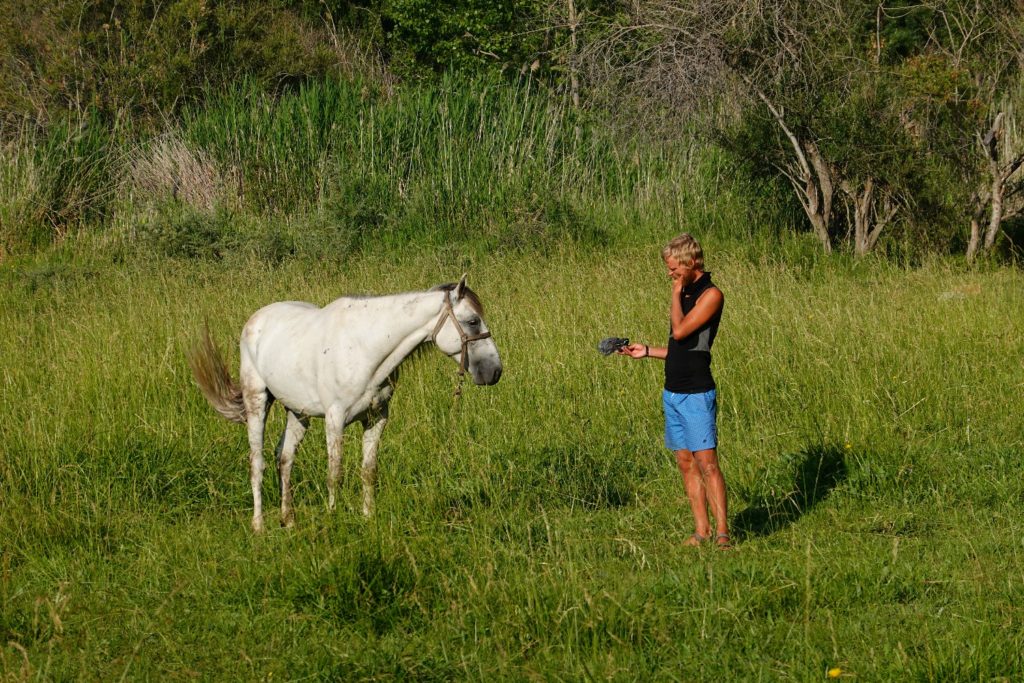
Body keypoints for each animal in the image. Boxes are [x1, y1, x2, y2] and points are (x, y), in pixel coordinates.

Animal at [190, 274, 501, 532]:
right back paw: (258, 526)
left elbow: (368, 470)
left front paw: (368, 517)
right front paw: (333, 517)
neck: (366, 348)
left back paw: (288, 520)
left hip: (297, 412)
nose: (494, 371)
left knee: (284, 457)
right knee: (258, 462)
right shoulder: (335, 418)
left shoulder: (377, 418)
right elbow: (335, 472)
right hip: (257, 401)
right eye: (473, 321)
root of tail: (255, 319)